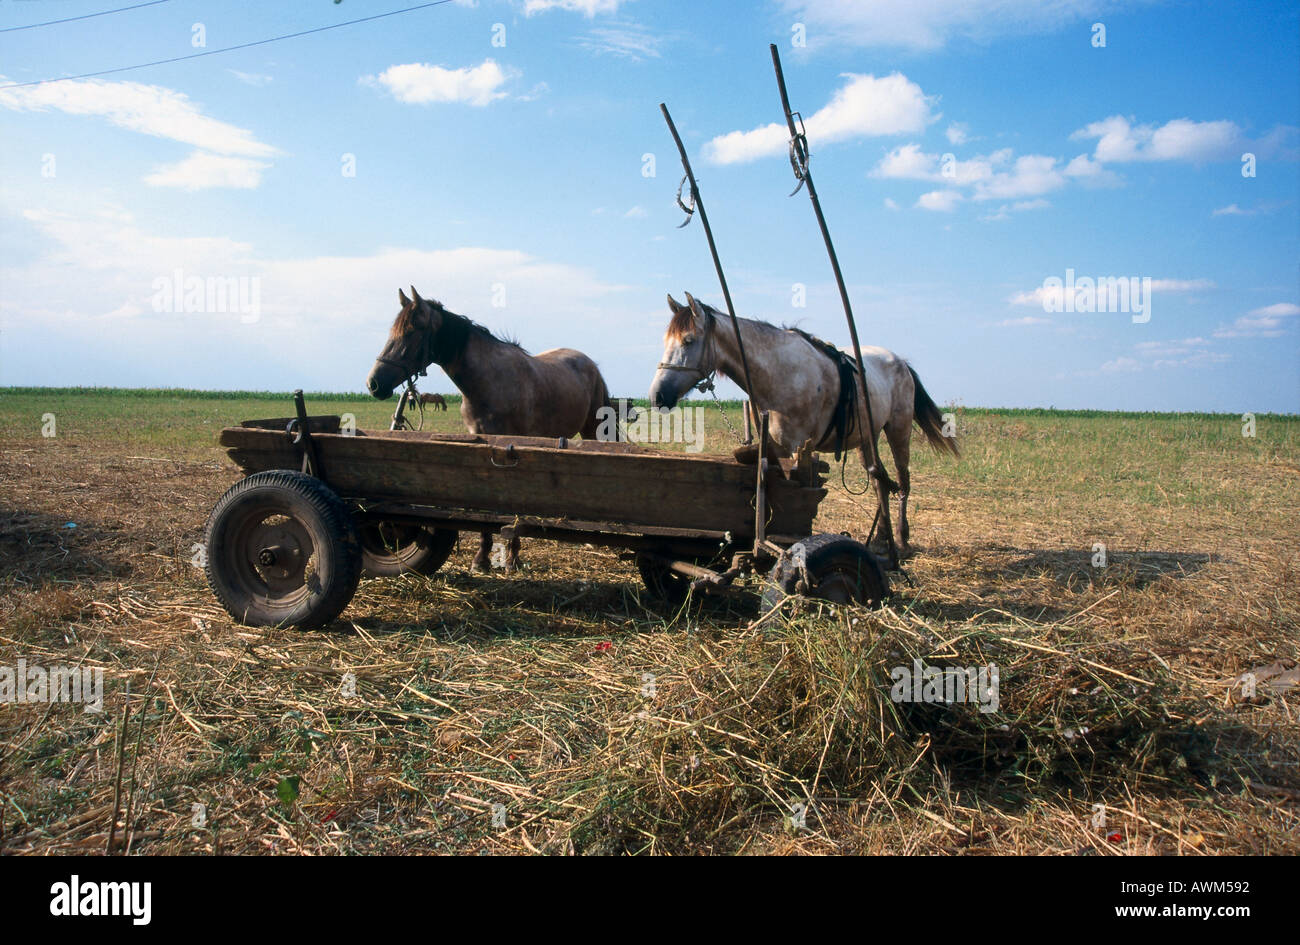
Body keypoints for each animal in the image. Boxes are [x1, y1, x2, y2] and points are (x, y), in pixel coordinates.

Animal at [366, 285, 608, 569]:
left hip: (592, 429)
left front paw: (512, 557)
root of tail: (589, 363)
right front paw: (482, 558)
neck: (490, 382)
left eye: (411, 332)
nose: (374, 384)